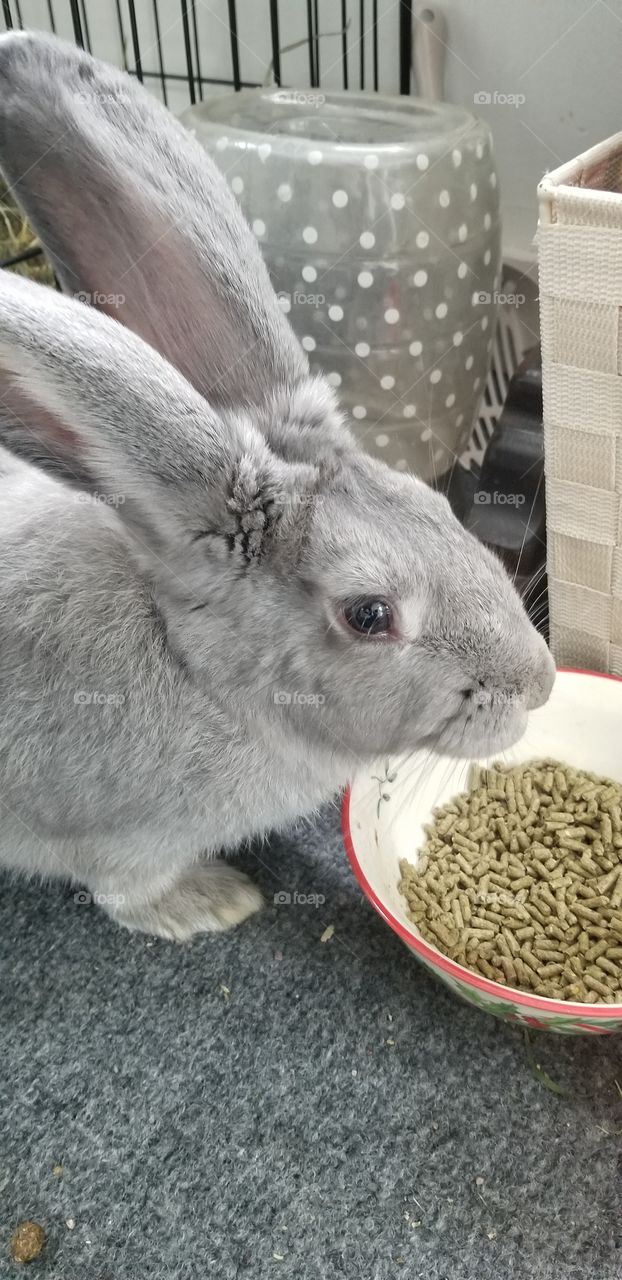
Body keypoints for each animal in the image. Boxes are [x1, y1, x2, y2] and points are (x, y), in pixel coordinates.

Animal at [0, 32, 555, 941]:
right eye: (369, 615)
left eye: (440, 506)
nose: (539, 683)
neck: (203, 673)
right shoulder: (112, 839)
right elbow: (126, 891)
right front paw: (214, 902)